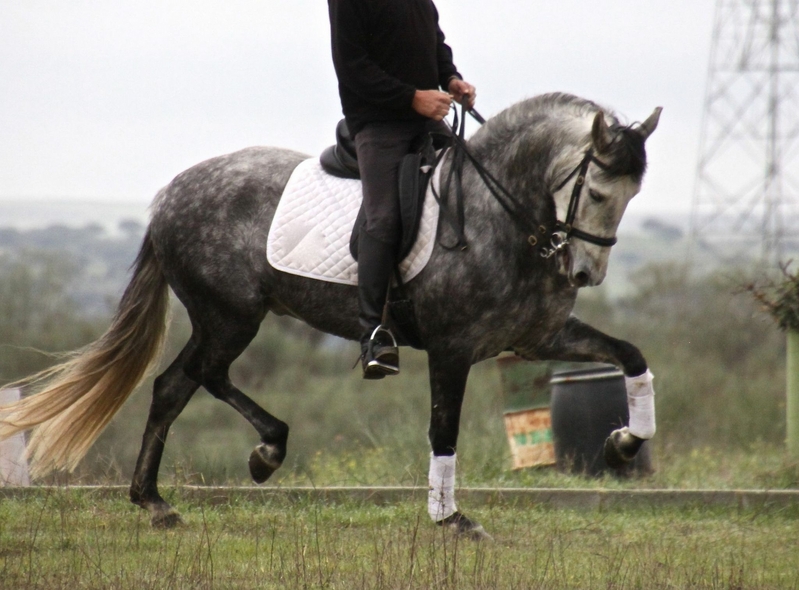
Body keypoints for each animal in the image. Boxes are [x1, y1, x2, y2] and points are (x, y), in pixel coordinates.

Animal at [0, 92, 660, 539]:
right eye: (597, 192)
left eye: (631, 196)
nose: (584, 274)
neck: (499, 216)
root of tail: (170, 194)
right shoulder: (452, 350)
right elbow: (442, 431)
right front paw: (450, 519)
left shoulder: (537, 337)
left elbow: (632, 357)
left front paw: (624, 444)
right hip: (230, 317)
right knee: (194, 380)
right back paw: (246, 461)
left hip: (225, 318)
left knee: (177, 385)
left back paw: (170, 496)